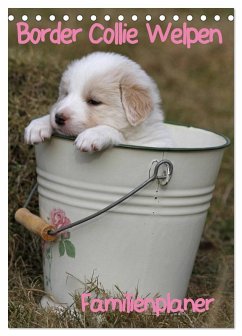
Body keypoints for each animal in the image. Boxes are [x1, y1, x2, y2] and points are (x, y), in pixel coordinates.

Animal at [24, 51, 173, 151]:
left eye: (94, 101)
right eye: (66, 94)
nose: (59, 118)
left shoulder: (147, 143)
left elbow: (115, 132)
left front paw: (92, 135)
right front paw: (38, 124)